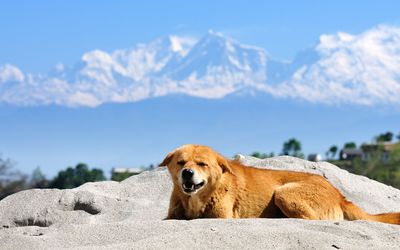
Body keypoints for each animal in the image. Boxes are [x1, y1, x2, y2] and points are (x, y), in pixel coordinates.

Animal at [159, 144, 400, 224]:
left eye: (202, 164)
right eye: (181, 163)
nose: (187, 173)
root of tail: (339, 194)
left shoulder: (221, 217)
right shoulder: (171, 215)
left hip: (284, 193)